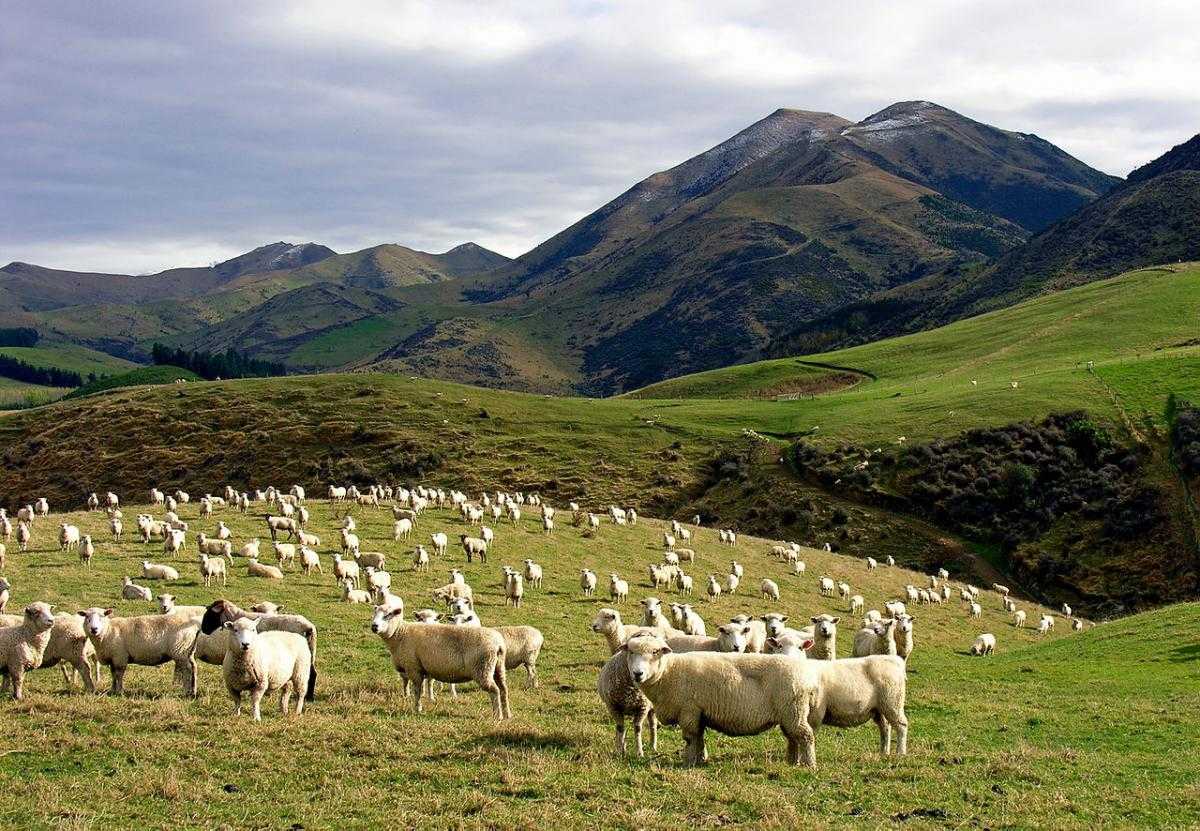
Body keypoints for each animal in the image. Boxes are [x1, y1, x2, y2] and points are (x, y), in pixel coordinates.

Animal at [369, 607, 511, 715]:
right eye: (374, 614)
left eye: (387, 615)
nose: (374, 626)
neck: (400, 633)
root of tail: (498, 644)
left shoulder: (414, 668)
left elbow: (417, 690)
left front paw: (417, 709)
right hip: (498, 668)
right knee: (503, 689)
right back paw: (507, 715)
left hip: (482, 669)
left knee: (494, 690)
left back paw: (497, 716)